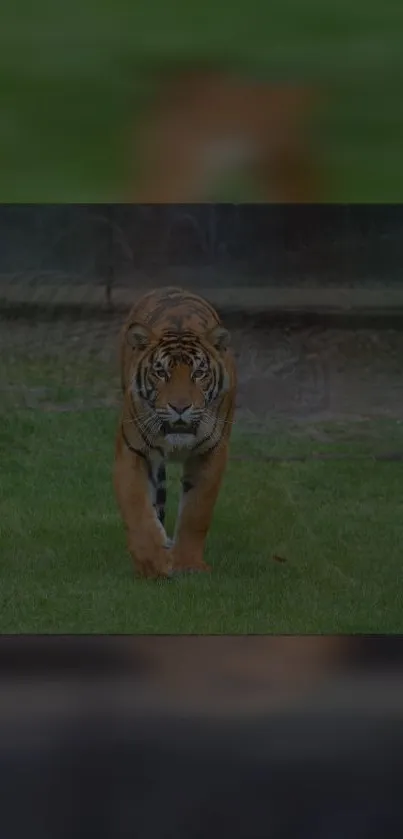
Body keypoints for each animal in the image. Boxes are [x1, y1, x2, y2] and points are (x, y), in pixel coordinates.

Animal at [113, 286, 238, 580]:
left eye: (199, 373)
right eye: (160, 372)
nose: (180, 407)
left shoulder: (211, 453)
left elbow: (196, 512)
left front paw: (188, 564)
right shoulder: (132, 450)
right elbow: (137, 508)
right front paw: (153, 563)